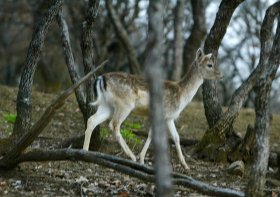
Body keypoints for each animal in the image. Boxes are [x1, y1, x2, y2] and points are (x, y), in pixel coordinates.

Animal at [83, 47, 223, 169]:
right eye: (210, 64)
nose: (220, 74)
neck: (181, 95)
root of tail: (101, 78)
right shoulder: (163, 113)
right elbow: (155, 134)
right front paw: (141, 159)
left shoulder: (169, 117)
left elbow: (175, 137)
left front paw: (185, 165)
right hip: (125, 104)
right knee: (114, 124)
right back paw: (131, 156)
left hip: (106, 105)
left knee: (92, 120)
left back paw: (85, 151)